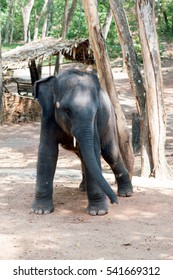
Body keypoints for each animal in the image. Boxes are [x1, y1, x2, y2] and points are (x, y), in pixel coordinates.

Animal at [31, 69, 132, 215]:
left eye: (96, 110)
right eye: (67, 110)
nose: (114, 202)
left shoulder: (94, 123)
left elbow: (94, 151)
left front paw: (98, 212)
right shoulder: (47, 117)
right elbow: (47, 152)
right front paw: (40, 210)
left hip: (110, 121)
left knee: (110, 153)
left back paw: (126, 193)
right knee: (85, 156)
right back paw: (83, 188)